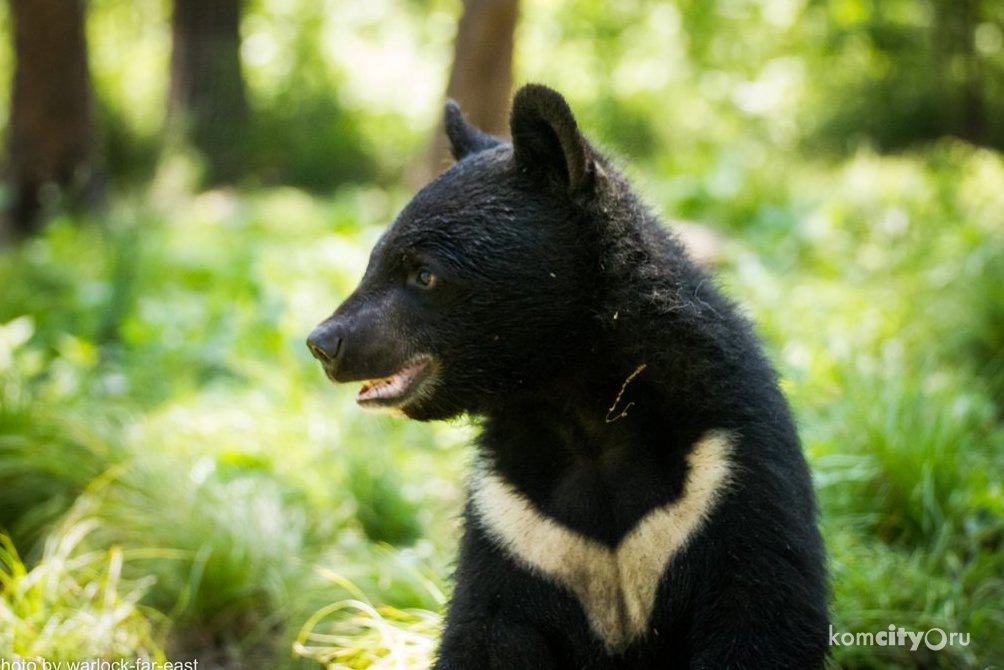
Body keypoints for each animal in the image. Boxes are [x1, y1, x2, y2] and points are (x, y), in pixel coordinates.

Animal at [309, 85, 827, 670]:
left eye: (424, 274)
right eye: (373, 260)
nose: (324, 342)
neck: (580, 401)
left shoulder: (728, 473)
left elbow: (762, 607)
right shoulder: (516, 522)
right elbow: (487, 629)